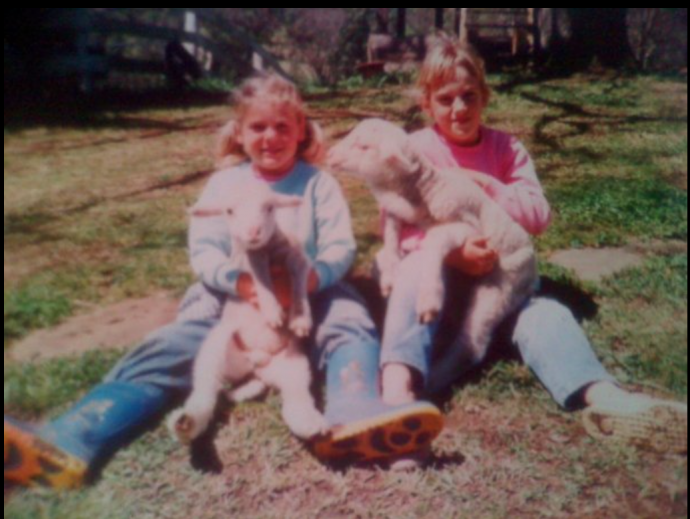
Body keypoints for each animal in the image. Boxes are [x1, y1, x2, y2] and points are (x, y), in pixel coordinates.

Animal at [168, 181, 326, 444]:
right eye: (229, 211)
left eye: (270, 207)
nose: (253, 232)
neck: (268, 251)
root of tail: (257, 363)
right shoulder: (248, 261)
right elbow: (259, 277)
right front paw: (272, 311)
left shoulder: (297, 256)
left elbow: (300, 279)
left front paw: (300, 319)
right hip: (217, 349)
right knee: (206, 389)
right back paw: (186, 423)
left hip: (292, 364)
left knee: (295, 394)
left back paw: (310, 424)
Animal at [326, 119, 536, 394]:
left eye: (363, 146)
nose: (329, 155)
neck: (426, 191)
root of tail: (532, 279)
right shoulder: (398, 213)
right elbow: (391, 233)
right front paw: (390, 275)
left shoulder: (470, 227)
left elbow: (435, 239)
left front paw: (429, 299)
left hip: (502, 285)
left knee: (472, 343)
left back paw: (432, 381)